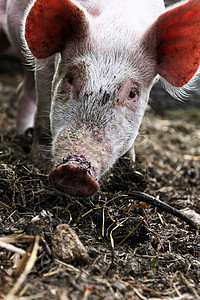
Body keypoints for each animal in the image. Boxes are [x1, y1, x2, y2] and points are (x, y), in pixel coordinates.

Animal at [0, 0, 199, 197]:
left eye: (132, 93)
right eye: (70, 78)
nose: (75, 169)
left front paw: (130, 167)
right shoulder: (43, 64)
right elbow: (42, 117)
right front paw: (38, 164)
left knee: (23, 91)